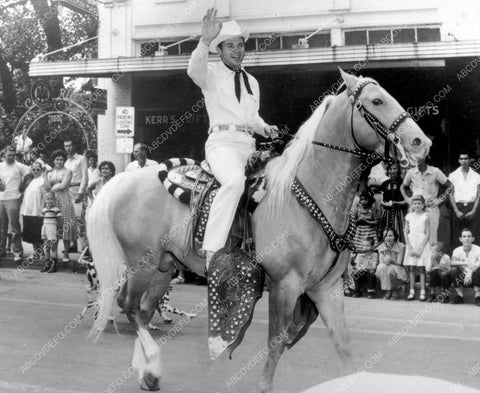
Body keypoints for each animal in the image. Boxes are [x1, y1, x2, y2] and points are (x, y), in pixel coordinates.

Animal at [89, 70, 432, 392]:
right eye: (377, 101)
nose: (422, 143)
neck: (308, 193)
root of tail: (125, 179)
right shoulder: (285, 286)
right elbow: (277, 342)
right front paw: (265, 385)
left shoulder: (327, 289)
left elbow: (344, 345)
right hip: (142, 263)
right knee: (129, 307)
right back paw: (151, 365)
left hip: (164, 266)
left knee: (144, 310)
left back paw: (148, 373)